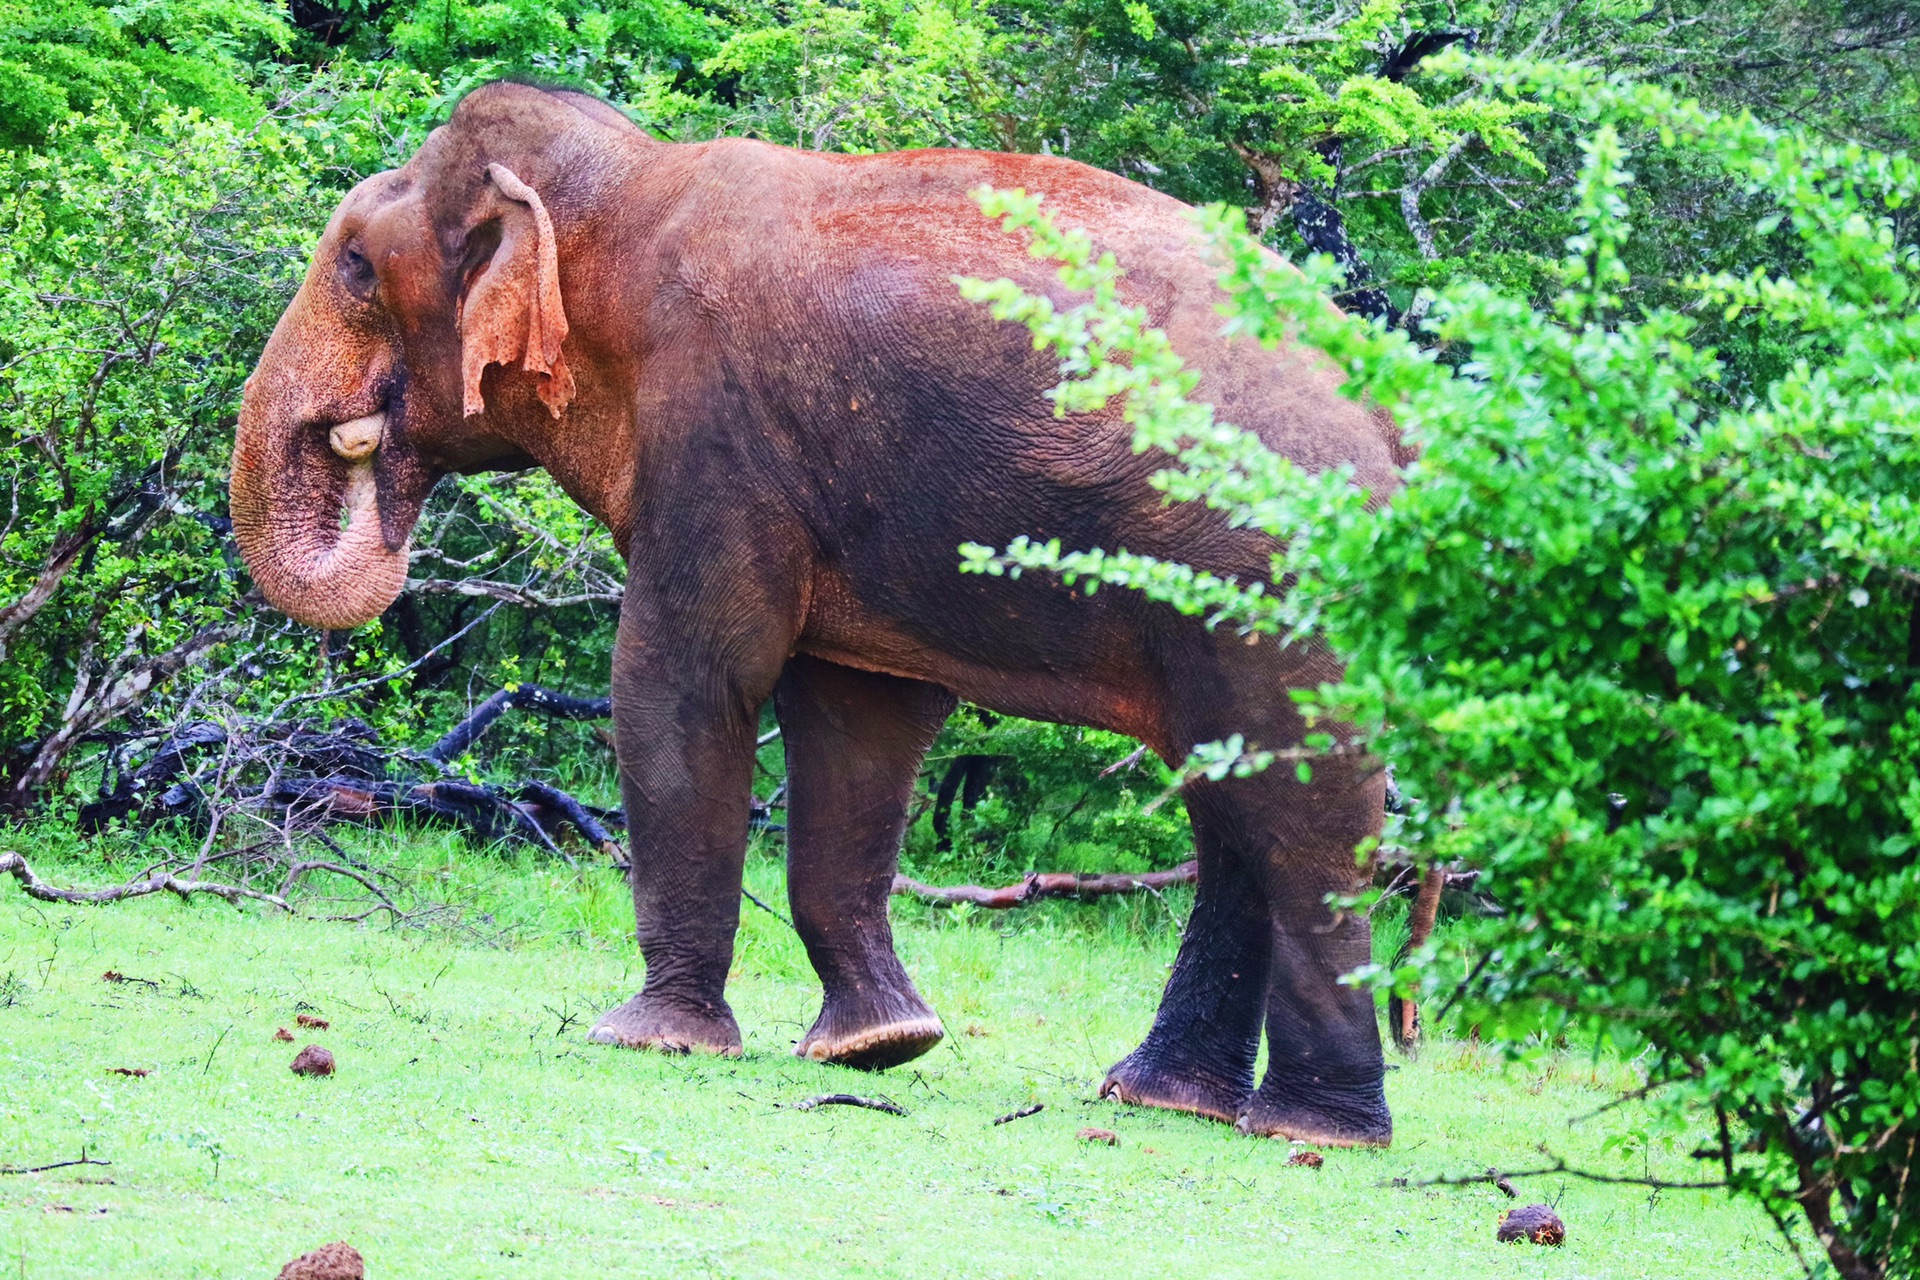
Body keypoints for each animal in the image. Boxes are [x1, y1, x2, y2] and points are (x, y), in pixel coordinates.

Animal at [232, 82, 1413, 1151]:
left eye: (355, 263)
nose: (375, 459)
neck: (627, 189)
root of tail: (1398, 414)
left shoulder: (716, 429)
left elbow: (681, 682)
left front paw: (647, 1037)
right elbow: (857, 723)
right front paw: (880, 1046)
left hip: (1276, 576)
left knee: (1299, 811)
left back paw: (1316, 1128)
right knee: (1234, 805)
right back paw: (1162, 1099)